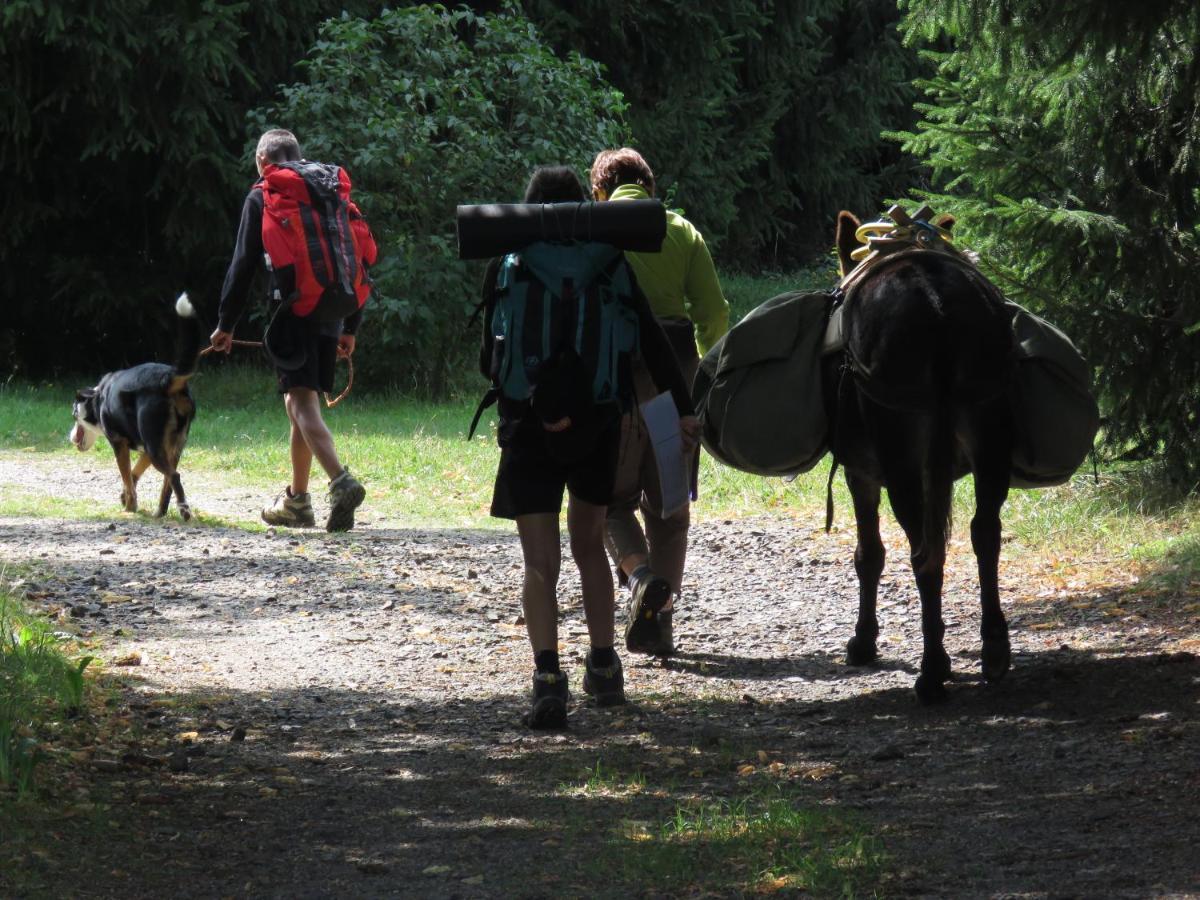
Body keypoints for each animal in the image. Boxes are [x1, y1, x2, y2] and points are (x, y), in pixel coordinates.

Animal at [71, 296, 206, 520]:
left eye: (74, 415)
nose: (71, 435)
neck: (99, 397)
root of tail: (167, 378)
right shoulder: (146, 451)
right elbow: (133, 474)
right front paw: (125, 497)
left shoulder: (119, 444)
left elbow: (126, 477)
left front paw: (129, 507)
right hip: (172, 446)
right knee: (168, 482)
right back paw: (161, 512)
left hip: (155, 447)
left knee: (174, 476)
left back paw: (184, 511)